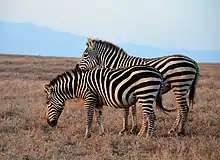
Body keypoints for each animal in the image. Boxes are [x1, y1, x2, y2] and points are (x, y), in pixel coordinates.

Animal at [43, 64, 174, 138]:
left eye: (47, 103)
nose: (49, 123)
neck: (79, 85)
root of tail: (157, 72)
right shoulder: (98, 102)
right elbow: (99, 117)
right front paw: (102, 134)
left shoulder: (89, 98)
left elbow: (89, 117)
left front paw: (87, 135)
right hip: (147, 97)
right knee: (148, 116)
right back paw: (140, 135)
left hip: (146, 94)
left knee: (151, 116)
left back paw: (147, 137)